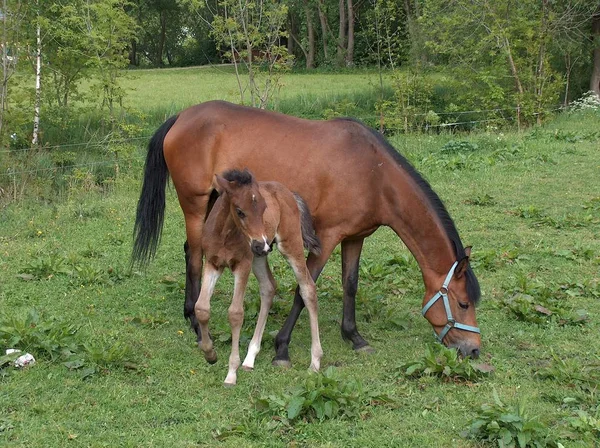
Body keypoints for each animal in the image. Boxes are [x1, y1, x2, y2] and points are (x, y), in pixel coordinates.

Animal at [132, 99, 482, 364]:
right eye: (464, 304)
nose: (473, 350)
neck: (374, 174)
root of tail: (181, 116)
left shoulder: (354, 237)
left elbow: (350, 285)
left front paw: (354, 337)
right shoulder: (325, 238)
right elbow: (305, 290)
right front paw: (282, 348)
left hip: (218, 205)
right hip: (194, 204)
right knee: (195, 255)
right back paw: (194, 323)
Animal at [196, 170, 324, 386]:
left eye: (264, 208)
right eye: (239, 211)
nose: (260, 243)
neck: (224, 235)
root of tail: (289, 192)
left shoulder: (242, 265)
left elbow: (236, 313)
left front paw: (231, 373)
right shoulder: (213, 263)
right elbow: (202, 308)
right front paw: (210, 354)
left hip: (288, 245)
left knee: (308, 288)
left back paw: (315, 362)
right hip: (258, 257)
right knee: (268, 287)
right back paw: (250, 358)